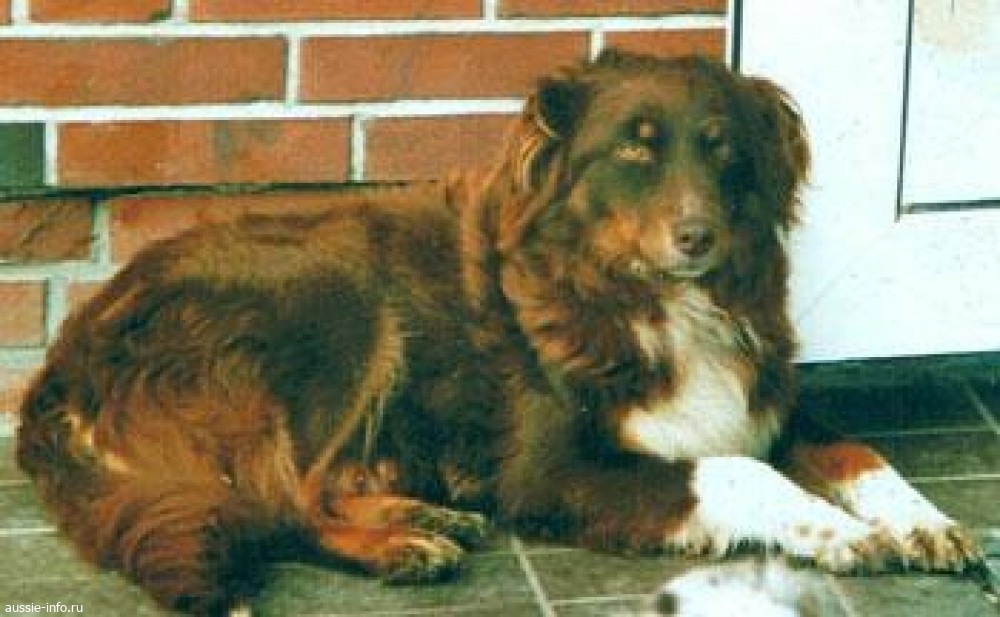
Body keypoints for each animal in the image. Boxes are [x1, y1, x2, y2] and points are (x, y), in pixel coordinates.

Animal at [16, 50, 983, 615]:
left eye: (722, 148)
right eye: (634, 148)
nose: (699, 235)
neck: (645, 298)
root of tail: (61, 364)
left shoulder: (764, 398)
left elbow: (856, 448)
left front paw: (923, 520)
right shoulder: (550, 470)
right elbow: (736, 469)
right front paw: (832, 528)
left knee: (308, 488)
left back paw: (417, 511)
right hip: (344, 302)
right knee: (280, 499)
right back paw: (401, 543)